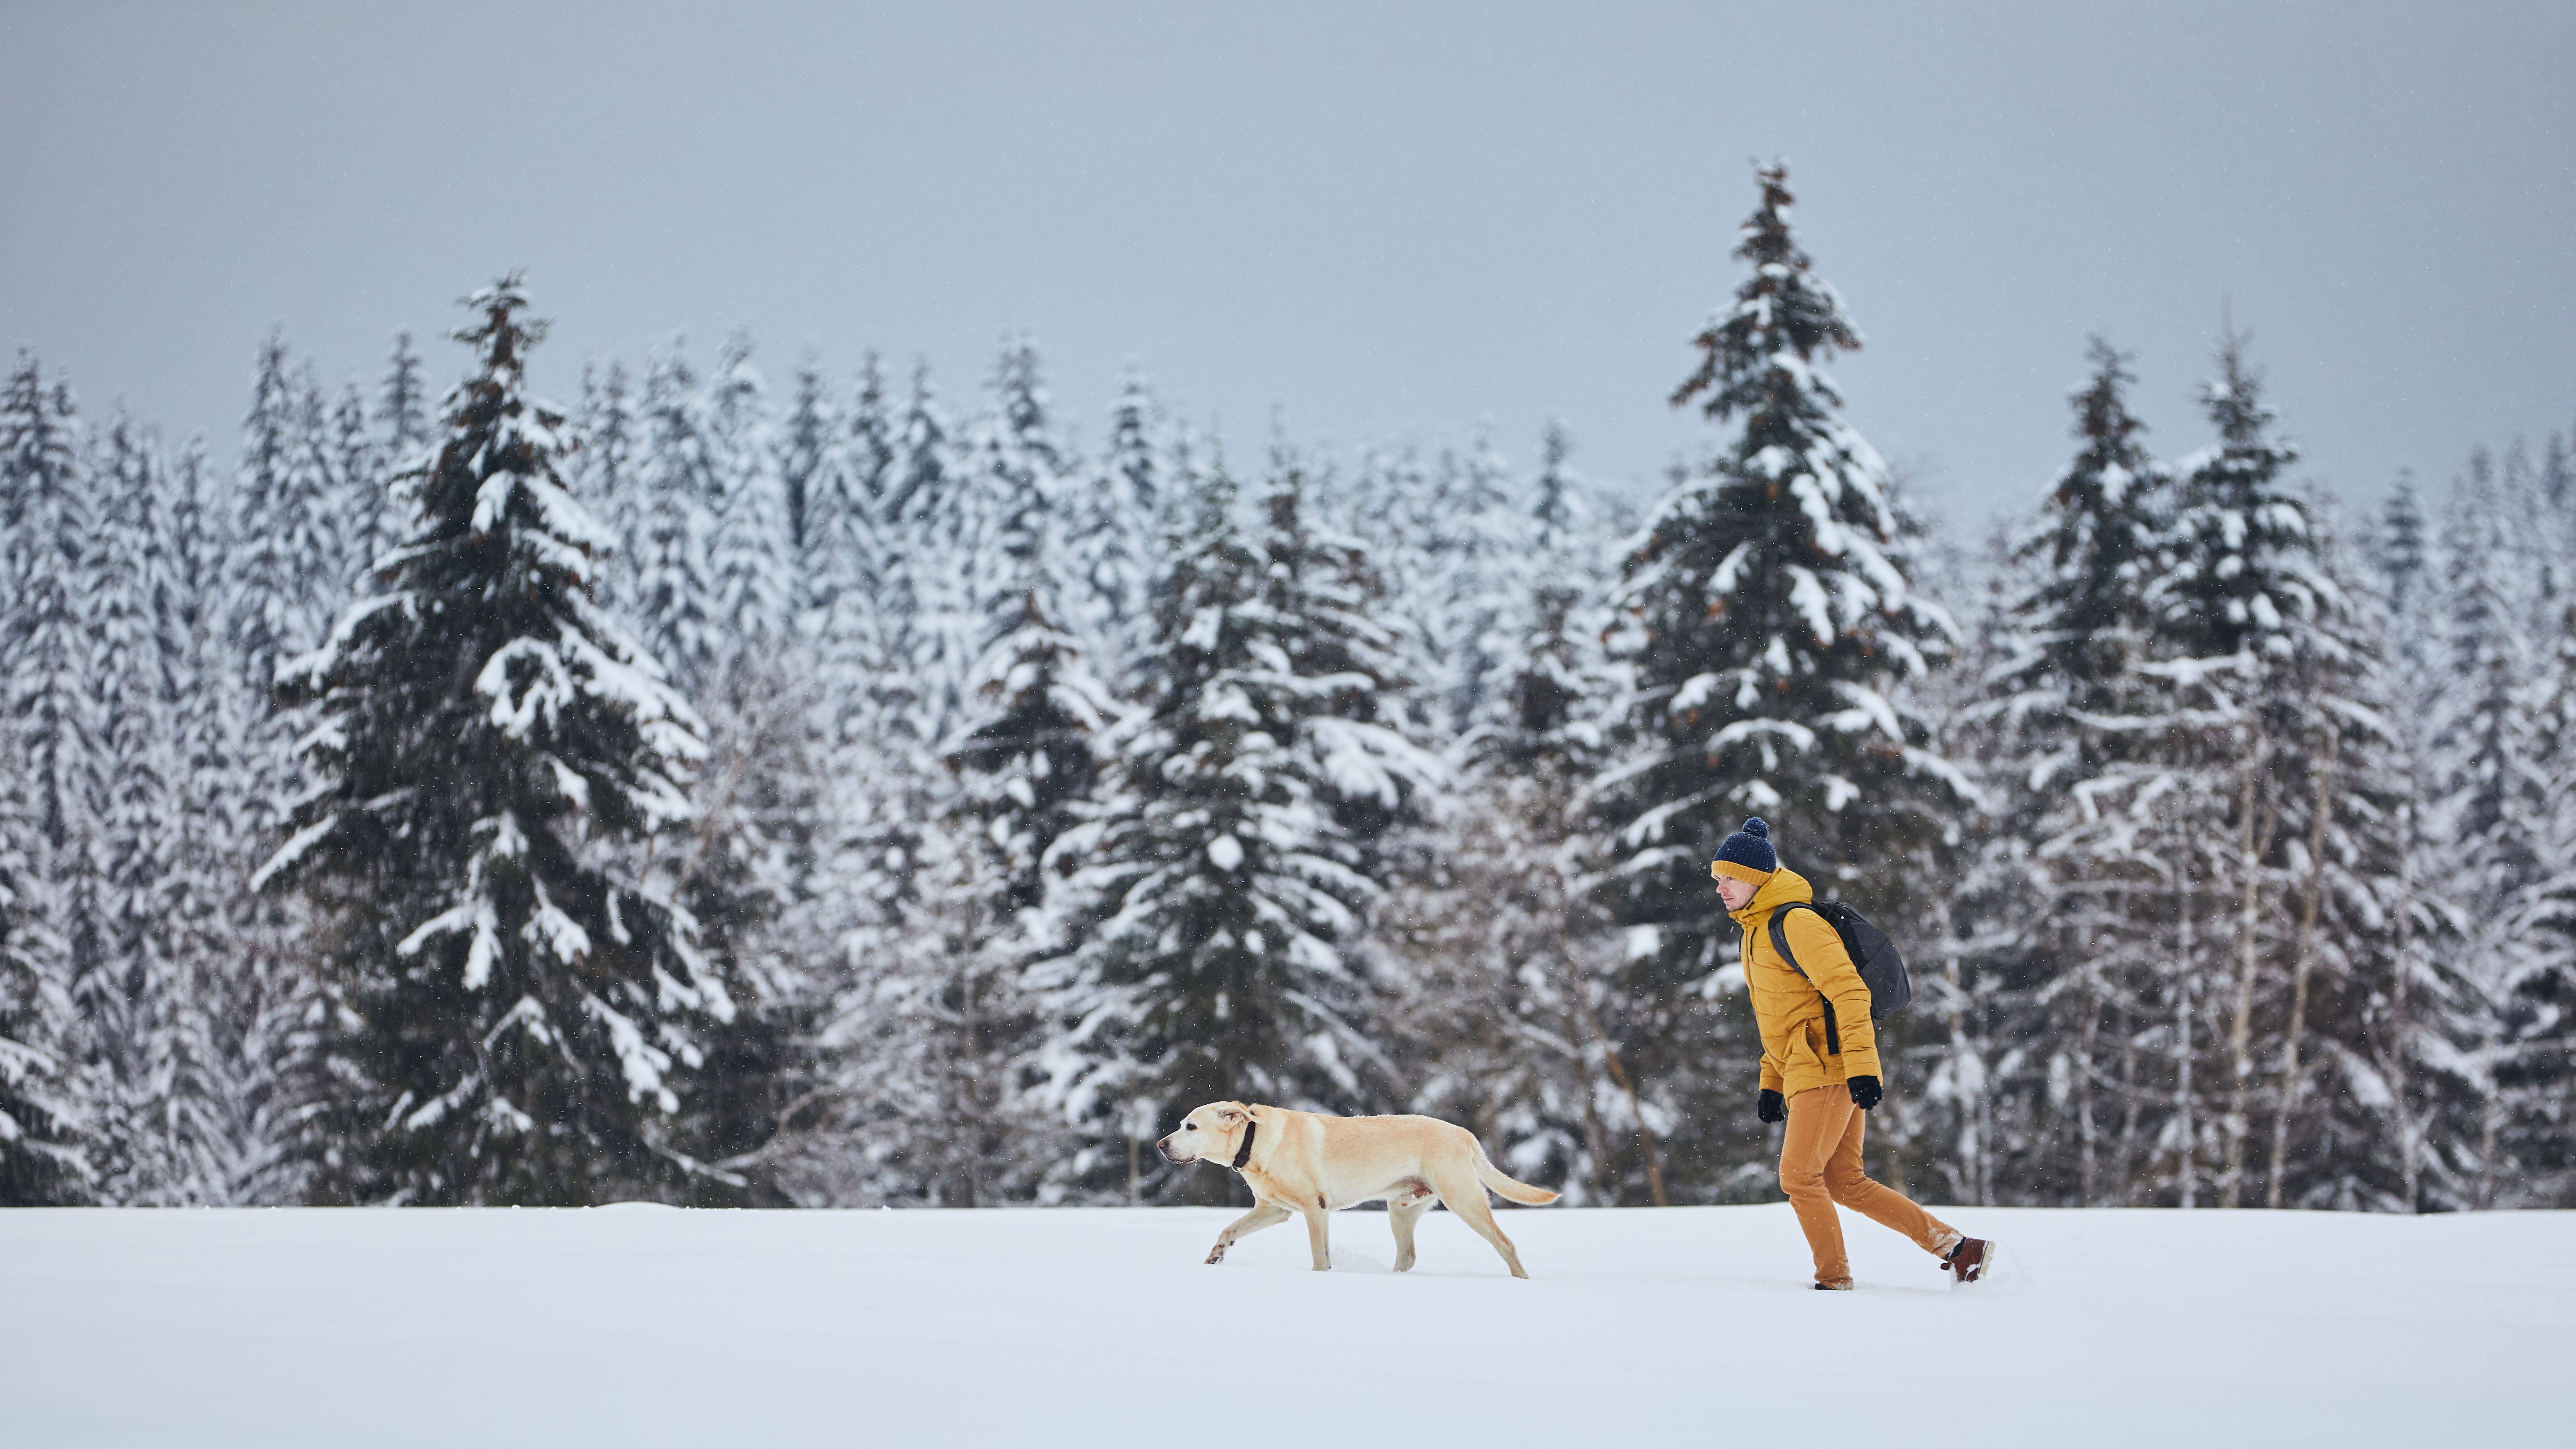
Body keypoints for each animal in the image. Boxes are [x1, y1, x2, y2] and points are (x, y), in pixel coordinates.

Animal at [1159, 1107, 1556, 1276]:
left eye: (1191, 1127)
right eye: (1181, 1124)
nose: (1161, 1145)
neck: (1253, 1140)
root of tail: (1465, 1133)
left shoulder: (1314, 1208)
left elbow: (1319, 1258)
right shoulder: (1275, 1210)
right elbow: (1229, 1229)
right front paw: (1215, 1258)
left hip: (1462, 1200)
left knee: (1506, 1244)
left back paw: (1522, 1282)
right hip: (1401, 1210)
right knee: (1407, 1257)